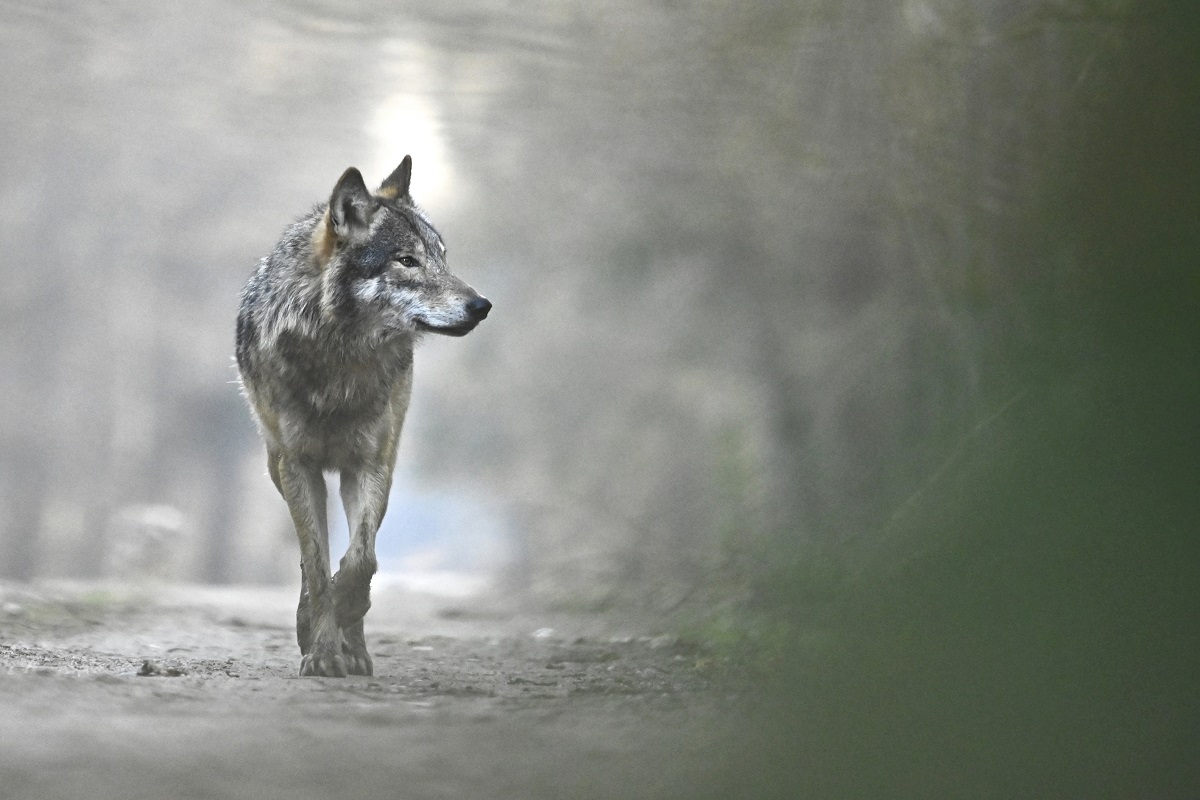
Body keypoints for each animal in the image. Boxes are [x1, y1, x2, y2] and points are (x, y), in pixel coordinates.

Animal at [234, 159, 487, 681]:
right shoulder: (299, 466)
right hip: (276, 466)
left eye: (442, 257)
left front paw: (346, 621)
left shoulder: (370, 465)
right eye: (406, 261)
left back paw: (356, 647)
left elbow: (360, 560)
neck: (341, 360)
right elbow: (316, 562)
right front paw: (321, 648)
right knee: (309, 560)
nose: (482, 305)